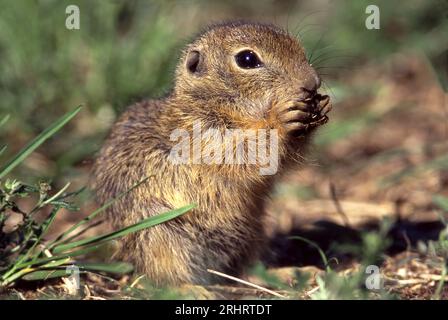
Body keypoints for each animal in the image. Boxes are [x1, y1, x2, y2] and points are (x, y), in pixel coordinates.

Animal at [91, 21, 330, 284]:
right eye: (247, 59)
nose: (312, 82)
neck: (212, 102)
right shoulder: (201, 136)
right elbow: (246, 151)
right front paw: (280, 119)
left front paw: (321, 106)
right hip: (159, 234)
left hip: (253, 233)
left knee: (245, 271)